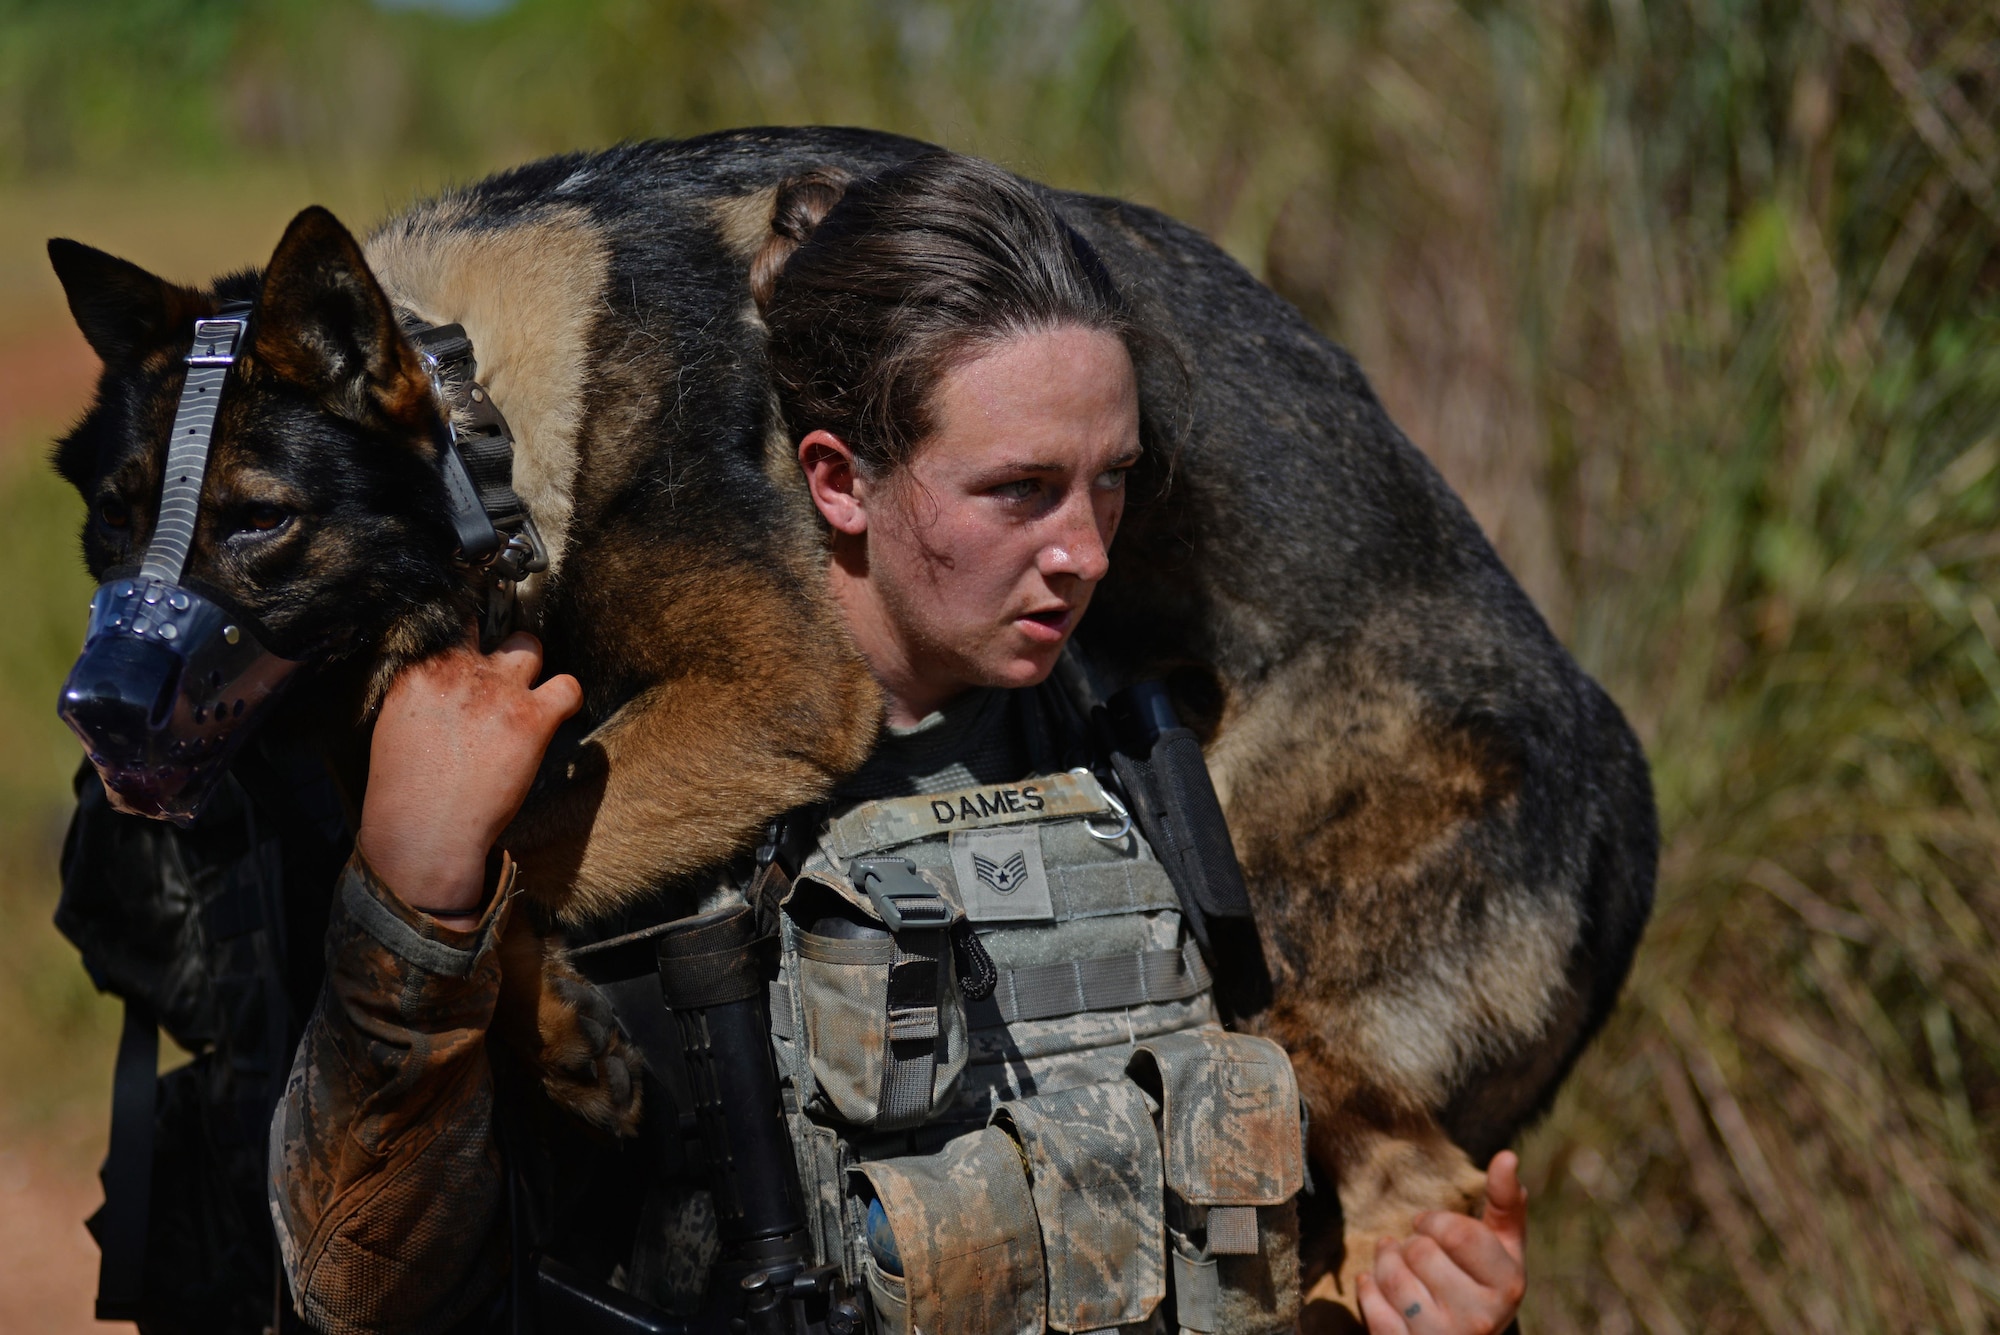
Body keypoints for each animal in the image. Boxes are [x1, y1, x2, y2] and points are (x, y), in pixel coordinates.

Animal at [50, 127, 1656, 1327]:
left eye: (258, 522)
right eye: (107, 523)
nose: (96, 710)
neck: (484, 418)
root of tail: (1624, 799)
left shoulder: (770, 692)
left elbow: (539, 832)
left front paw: (563, 1025)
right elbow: (435, 859)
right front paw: (550, 1027)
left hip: (1281, 984)